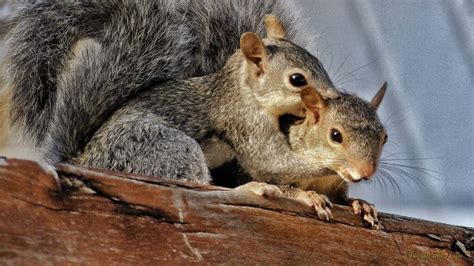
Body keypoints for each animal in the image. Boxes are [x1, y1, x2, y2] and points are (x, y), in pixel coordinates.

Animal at [0, 1, 388, 225]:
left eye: (318, 62)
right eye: (297, 79)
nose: (331, 96)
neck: (245, 90)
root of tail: (85, 160)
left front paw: (359, 200)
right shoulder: (242, 120)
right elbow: (273, 162)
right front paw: (325, 175)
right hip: (164, 146)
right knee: (202, 191)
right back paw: (249, 190)